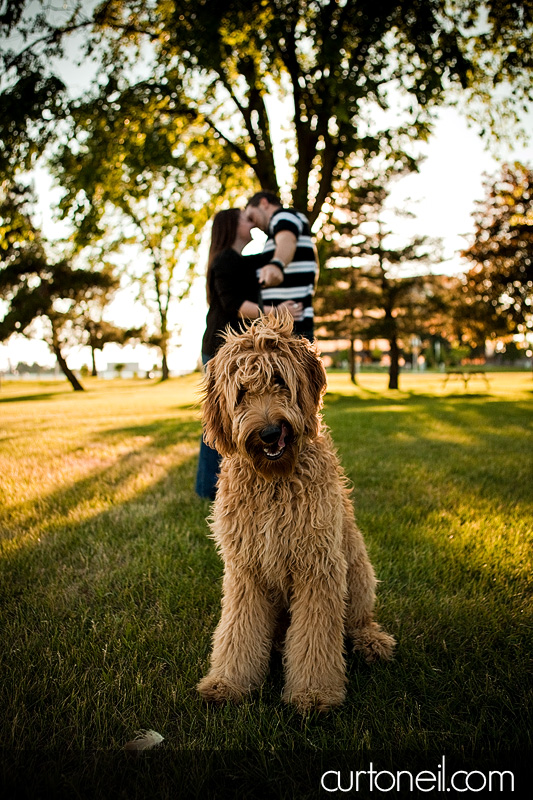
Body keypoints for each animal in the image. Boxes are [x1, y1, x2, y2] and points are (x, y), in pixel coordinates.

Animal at [196, 310, 394, 712]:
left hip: (358, 571)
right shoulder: (246, 570)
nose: (270, 432)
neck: (274, 479)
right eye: (242, 392)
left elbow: (316, 637)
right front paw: (229, 683)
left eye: (279, 380)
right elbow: (238, 630)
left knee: (358, 621)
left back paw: (371, 641)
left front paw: (314, 694)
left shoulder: (319, 563)